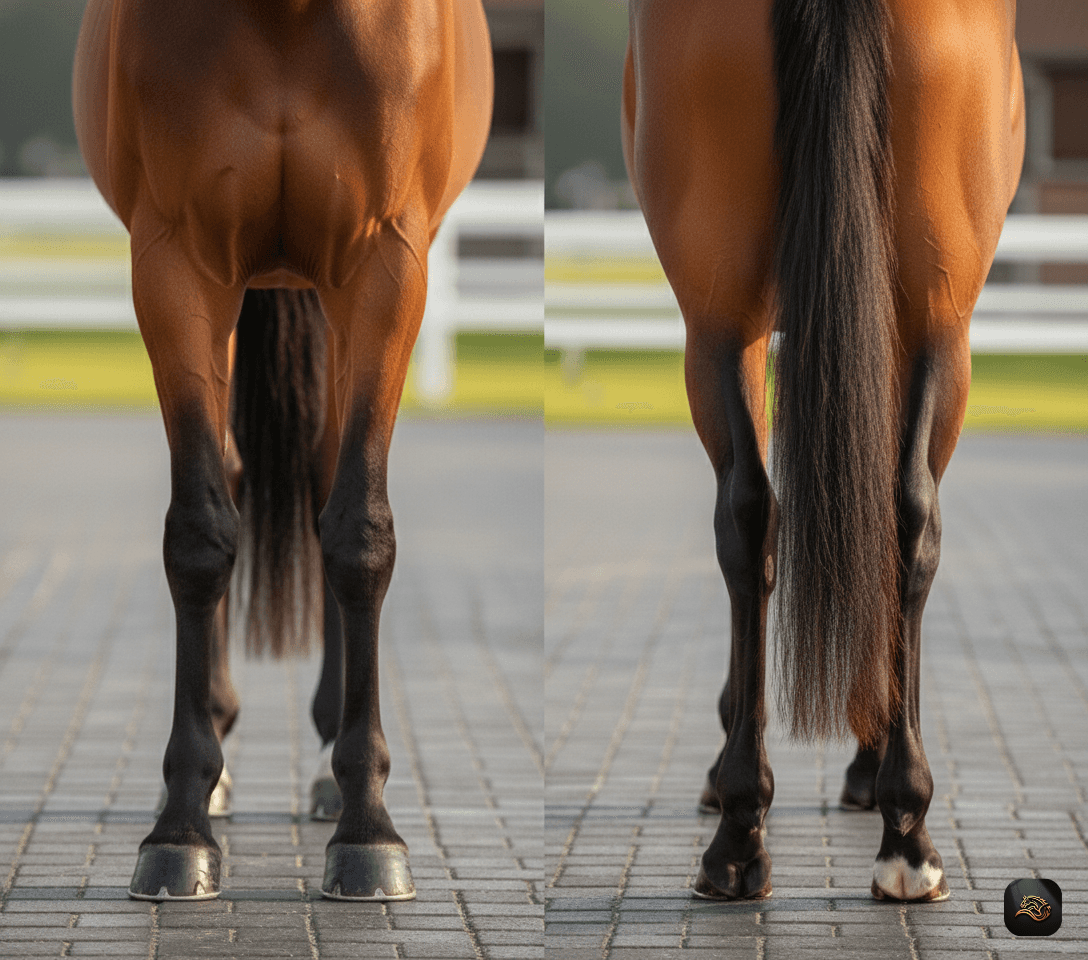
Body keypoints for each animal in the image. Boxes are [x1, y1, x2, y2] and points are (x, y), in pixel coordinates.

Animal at [72, 0, 493, 901]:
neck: (286, 15)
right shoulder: (175, 262)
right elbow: (199, 533)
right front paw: (179, 826)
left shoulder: (386, 262)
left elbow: (359, 530)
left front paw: (369, 830)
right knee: (232, 477)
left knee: (329, 474)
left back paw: (334, 767)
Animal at [623, 0, 1023, 901]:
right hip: (921, 319)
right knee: (877, 519)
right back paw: (889, 830)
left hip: (735, 320)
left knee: (765, 517)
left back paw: (755, 828)